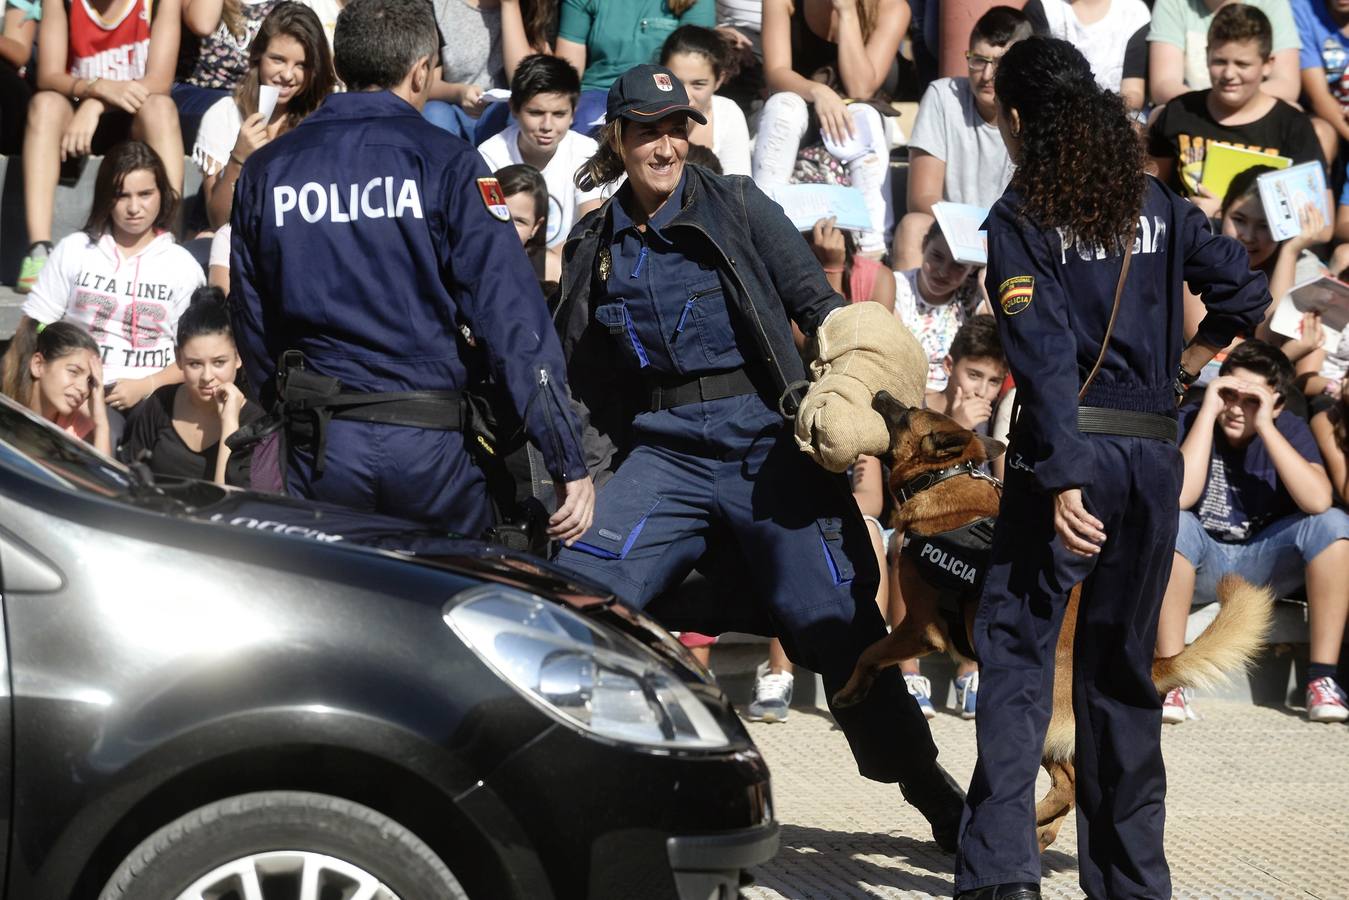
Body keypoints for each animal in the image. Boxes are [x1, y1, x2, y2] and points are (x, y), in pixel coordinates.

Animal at [830, 391, 1273, 847]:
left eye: (908, 413)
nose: (880, 394)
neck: (944, 478)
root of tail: (1151, 664)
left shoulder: (919, 628)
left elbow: (870, 651)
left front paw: (849, 691)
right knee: (1076, 785)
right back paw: (1040, 832)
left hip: (1032, 725)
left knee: (1068, 785)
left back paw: (1016, 823)